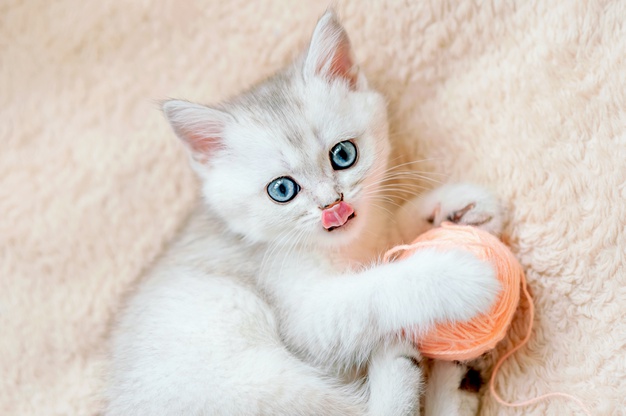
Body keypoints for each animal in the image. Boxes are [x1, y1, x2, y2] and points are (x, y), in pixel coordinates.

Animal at [105, 10, 500, 416]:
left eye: (343, 154)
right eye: (282, 190)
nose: (333, 205)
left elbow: (387, 234)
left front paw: (453, 211)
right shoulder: (307, 316)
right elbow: (376, 290)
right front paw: (457, 276)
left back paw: (457, 376)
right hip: (246, 363)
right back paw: (399, 364)